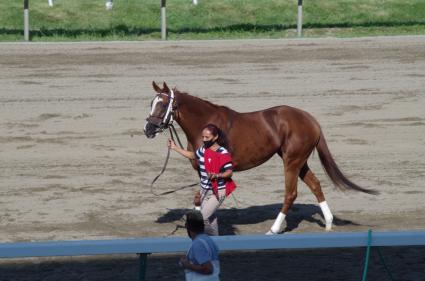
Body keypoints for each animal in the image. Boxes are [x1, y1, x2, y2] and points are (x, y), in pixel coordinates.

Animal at [144, 81, 376, 234]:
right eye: (152, 103)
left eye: (163, 104)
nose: (148, 129)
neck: (207, 125)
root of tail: (310, 119)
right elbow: (198, 198)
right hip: (299, 162)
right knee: (315, 185)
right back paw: (328, 222)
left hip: (291, 162)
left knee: (290, 194)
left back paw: (274, 229)